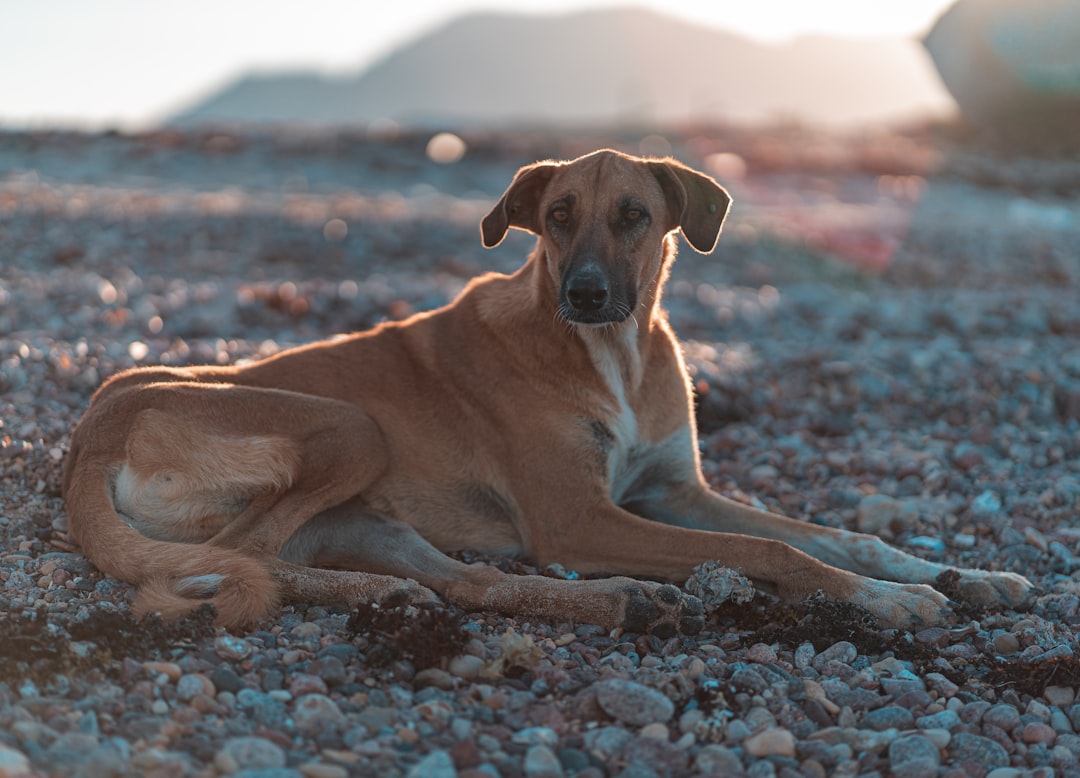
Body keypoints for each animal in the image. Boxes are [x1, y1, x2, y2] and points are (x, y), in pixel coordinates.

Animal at [59, 149, 1028, 635]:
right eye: (557, 217)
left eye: (634, 216)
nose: (587, 294)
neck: (614, 355)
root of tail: (91, 433)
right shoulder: (578, 520)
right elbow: (772, 551)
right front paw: (886, 600)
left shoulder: (675, 491)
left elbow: (835, 534)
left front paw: (957, 572)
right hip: (349, 427)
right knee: (243, 558)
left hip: (365, 513)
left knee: (460, 583)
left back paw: (585, 600)